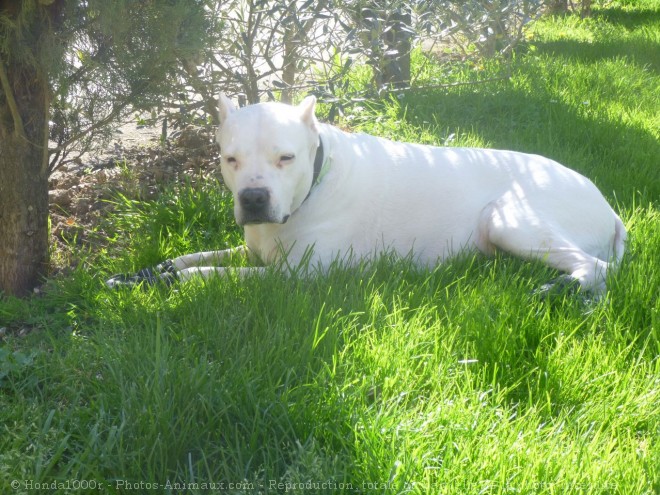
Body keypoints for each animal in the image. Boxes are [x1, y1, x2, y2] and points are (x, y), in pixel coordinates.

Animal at [105, 96, 628, 294]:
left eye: (285, 158)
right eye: (230, 159)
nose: (253, 198)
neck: (316, 181)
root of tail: (610, 208)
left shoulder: (295, 277)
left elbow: (203, 274)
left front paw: (165, 283)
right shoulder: (253, 249)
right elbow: (186, 258)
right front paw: (139, 275)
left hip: (509, 219)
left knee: (595, 267)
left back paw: (562, 289)